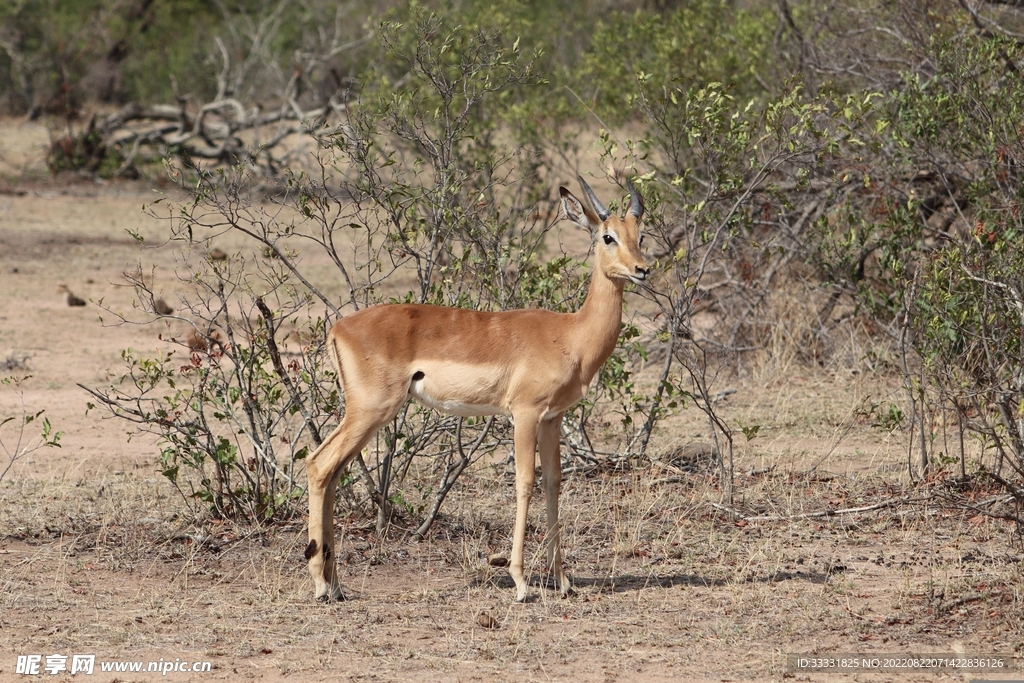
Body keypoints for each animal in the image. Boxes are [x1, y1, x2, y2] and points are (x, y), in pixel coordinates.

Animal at [304, 177, 648, 603]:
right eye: (607, 236)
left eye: (640, 234)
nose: (642, 270)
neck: (571, 334)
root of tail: (337, 327)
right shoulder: (525, 414)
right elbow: (525, 482)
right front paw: (521, 583)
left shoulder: (553, 418)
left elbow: (553, 483)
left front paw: (563, 580)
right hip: (370, 410)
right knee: (320, 465)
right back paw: (321, 584)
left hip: (365, 415)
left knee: (331, 472)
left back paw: (334, 584)